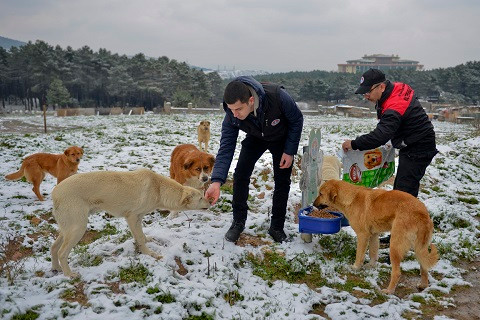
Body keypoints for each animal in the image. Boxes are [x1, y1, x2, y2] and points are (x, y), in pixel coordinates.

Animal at [50, 168, 210, 278]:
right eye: (201, 198)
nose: (211, 201)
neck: (158, 188)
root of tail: (55, 192)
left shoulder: (137, 218)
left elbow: (141, 235)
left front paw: (147, 241)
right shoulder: (132, 217)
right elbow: (139, 238)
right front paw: (150, 254)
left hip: (68, 228)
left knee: (54, 248)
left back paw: (56, 268)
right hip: (78, 227)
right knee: (62, 252)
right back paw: (69, 275)